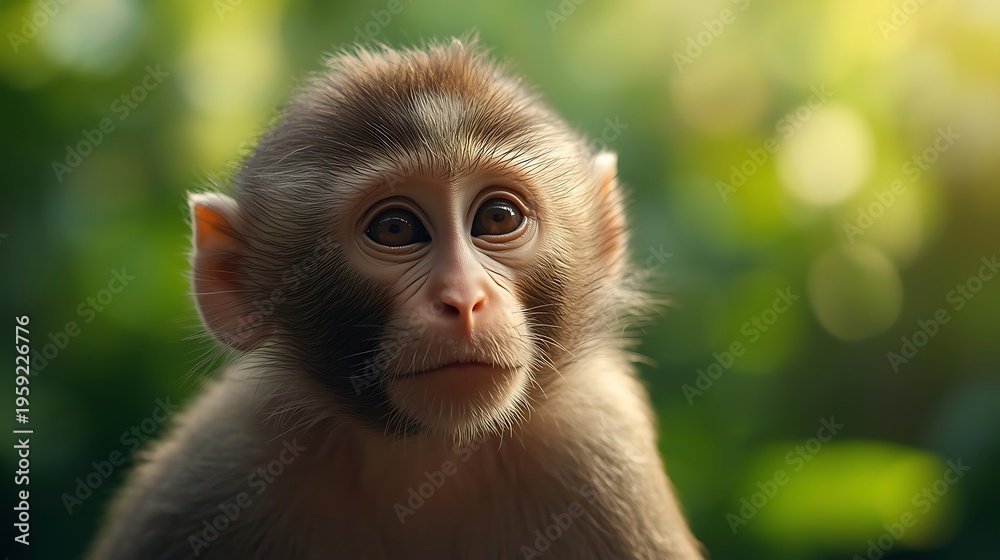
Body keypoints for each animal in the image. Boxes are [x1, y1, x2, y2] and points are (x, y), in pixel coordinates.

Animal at [89, 39, 703, 560]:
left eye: (498, 217)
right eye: (395, 229)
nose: (464, 299)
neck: (425, 459)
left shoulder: (602, 456)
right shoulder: (215, 469)